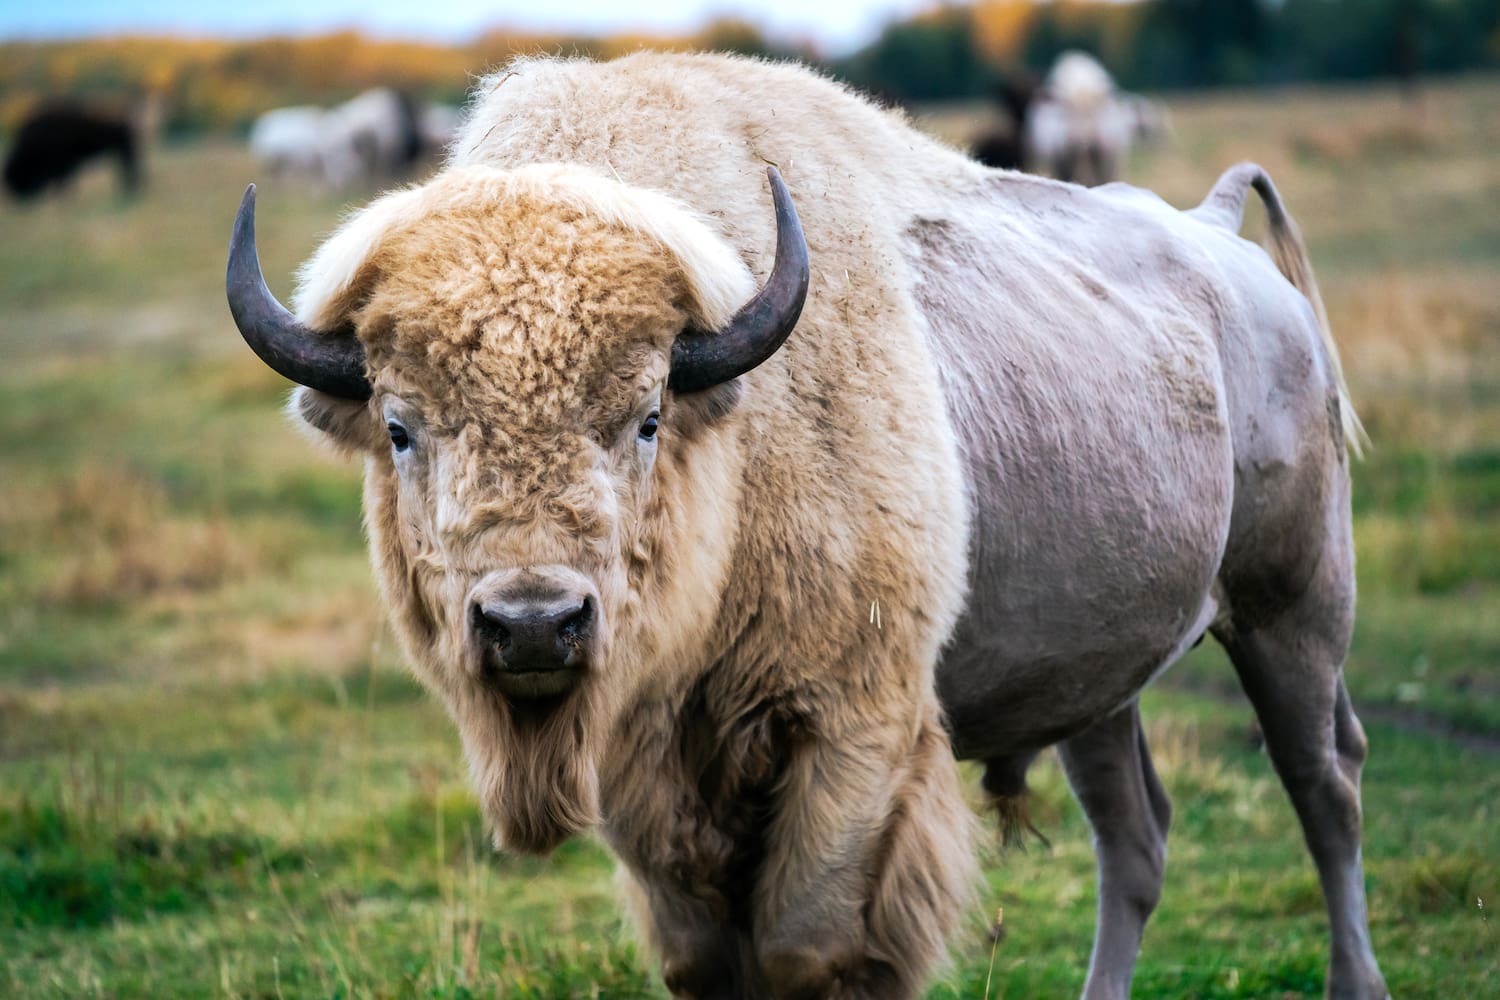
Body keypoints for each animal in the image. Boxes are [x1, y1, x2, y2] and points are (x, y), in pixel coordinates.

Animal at [227, 53, 1386, 999]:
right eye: (399, 427)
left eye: (646, 415)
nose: (533, 625)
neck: (734, 444)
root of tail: (1220, 237)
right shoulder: (648, 781)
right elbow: (706, 959)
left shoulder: (852, 736)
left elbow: (808, 951)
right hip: (1104, 675)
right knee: (1134, 839)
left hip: (1293, 610)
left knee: (1325, 789)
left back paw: (1354, 978)